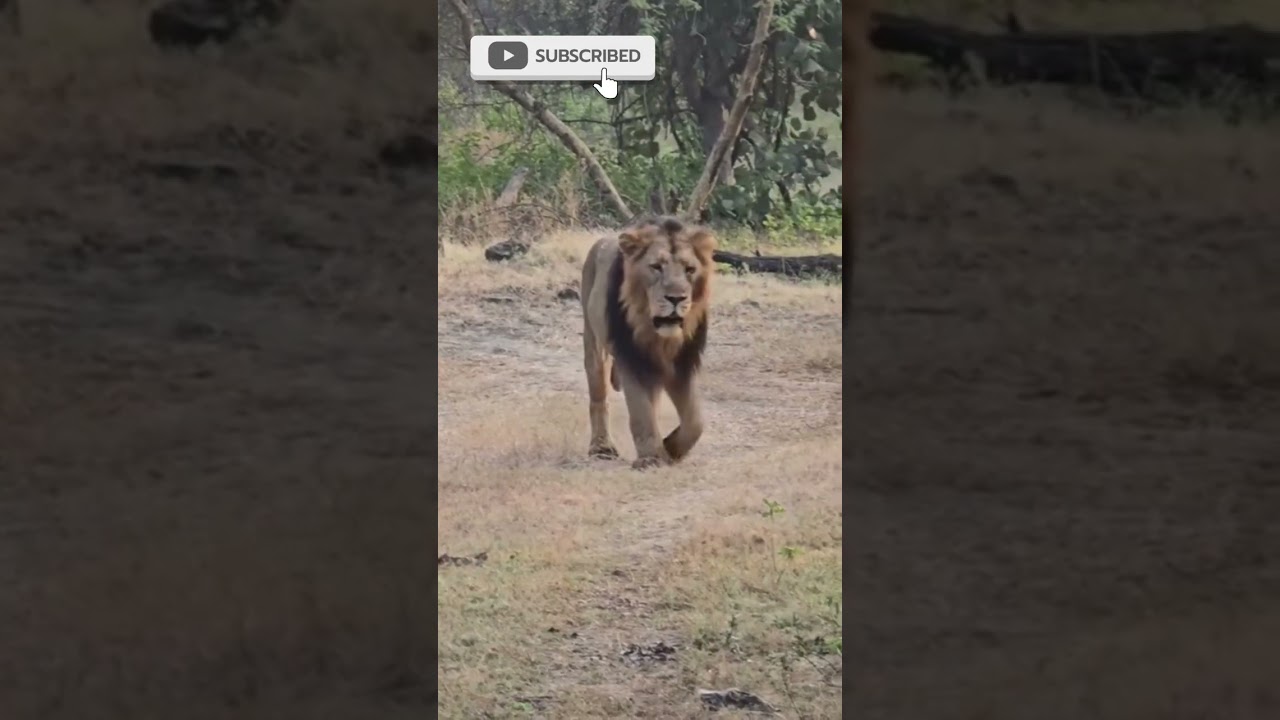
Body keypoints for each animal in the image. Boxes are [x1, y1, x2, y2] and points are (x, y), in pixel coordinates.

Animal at [580, 216, 716, 470]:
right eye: (656, 267)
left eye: (690, 270)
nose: (676, 298)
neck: (659, 337)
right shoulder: (632, 359)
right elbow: (641, 412)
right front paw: (651, 457)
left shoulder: (682, 364)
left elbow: (695, 420)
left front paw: (670, 448)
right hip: (594, 344)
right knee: (599, 398)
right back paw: (601, 447)